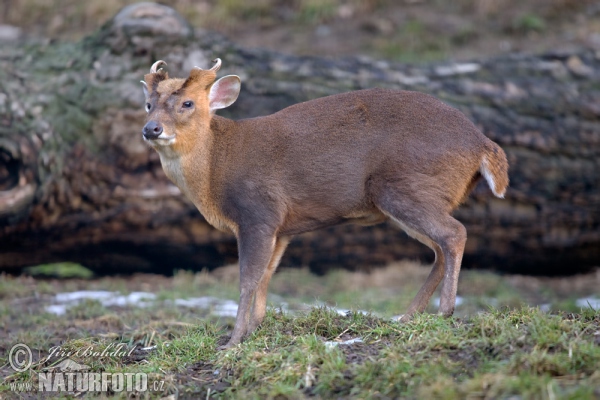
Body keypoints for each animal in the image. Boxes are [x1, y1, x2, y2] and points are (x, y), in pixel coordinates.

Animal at [142, 58, 510, 346]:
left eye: (188, 104)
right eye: (148, 104)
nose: (151, 129)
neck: (216, 169)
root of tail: (483, 144)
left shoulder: (258, 212)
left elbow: (248, 278)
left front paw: (232, 340)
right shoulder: (282, 228)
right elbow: (266, 275)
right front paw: (254, 329)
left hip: (407, 186)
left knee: (454, 234)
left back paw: (444, 311)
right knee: (438, 250)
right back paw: (407, 316)